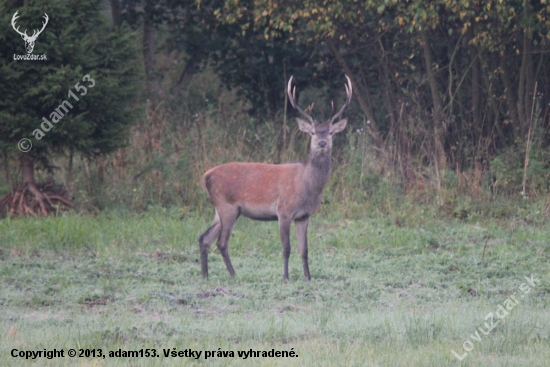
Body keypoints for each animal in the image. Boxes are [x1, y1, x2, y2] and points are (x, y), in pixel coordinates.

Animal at [199, 75, 354, 282]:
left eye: (330, 132)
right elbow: (286, 248)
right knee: (221, 242)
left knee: (204, 238)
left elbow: (304, 249)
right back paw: (233, 275)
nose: (321, 143)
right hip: (227, 206)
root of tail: (205, 176)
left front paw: (308, 277)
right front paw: (286, 277)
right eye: (313, 132)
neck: (307, 186)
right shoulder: (284, 211)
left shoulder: (304, 216)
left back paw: (205, 275)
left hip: (221, 209)